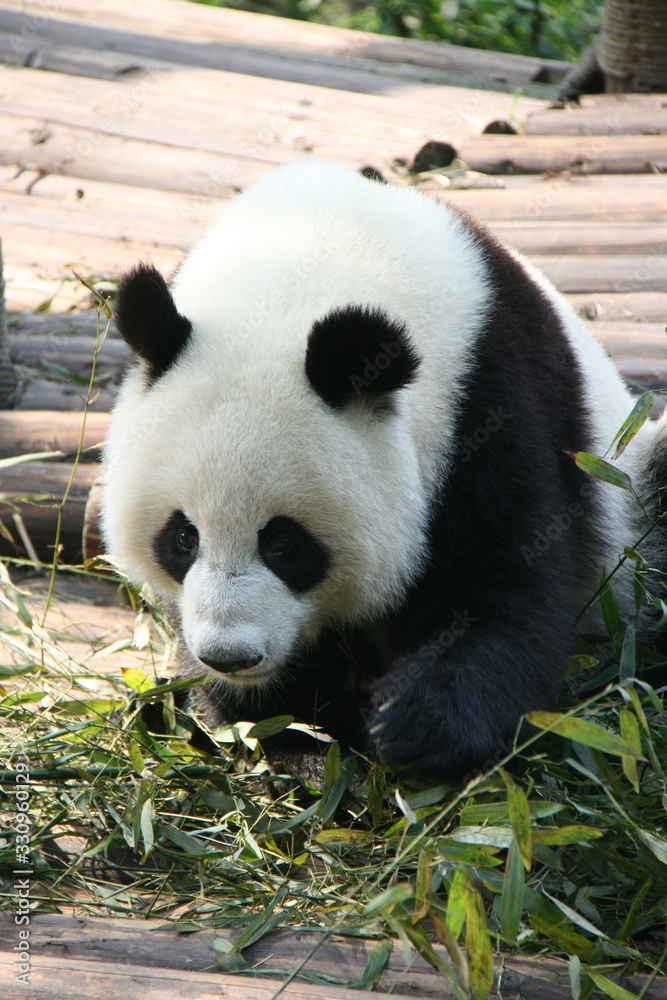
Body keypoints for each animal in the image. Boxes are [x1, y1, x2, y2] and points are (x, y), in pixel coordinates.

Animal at [100, 158, 667, 780]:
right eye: (183, 537)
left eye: (284, 543)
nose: (230, 656)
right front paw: (301, 735)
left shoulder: (489, 397)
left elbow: (506, 580)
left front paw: (418, 723)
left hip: (634, 521)